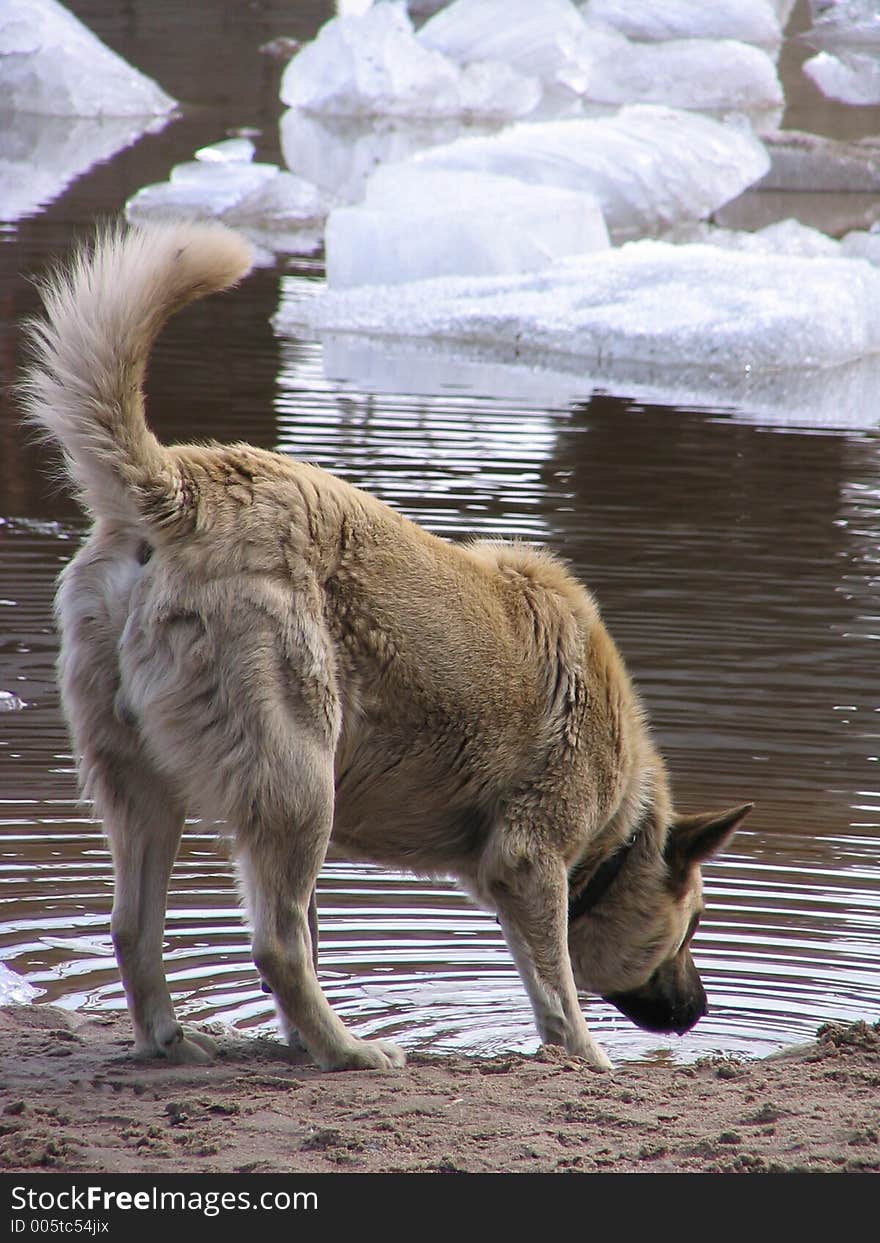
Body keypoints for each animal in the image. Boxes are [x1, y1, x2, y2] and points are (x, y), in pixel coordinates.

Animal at [18, 221, 750, 1068]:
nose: (700, 1010)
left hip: (143, 785)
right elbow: (559, 995)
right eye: (691, 927)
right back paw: (349, 1050)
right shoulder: (530, 861)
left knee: (136, 928)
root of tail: (180, 488)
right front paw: (590, 1062)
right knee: (277, 942)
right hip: (300, 786)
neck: (617, 824)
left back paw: (176, 1040)